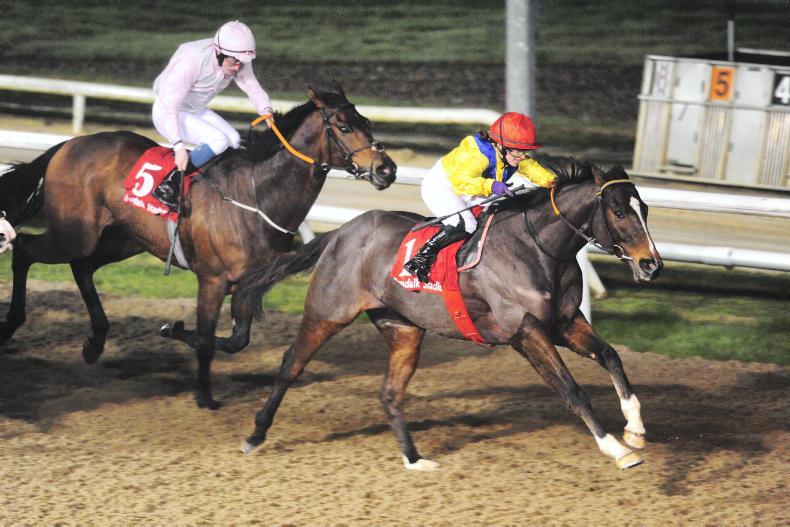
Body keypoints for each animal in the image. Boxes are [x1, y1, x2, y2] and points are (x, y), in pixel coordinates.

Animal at [0, 86, 396, 410]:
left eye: (366, 121)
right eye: (343, 126)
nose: (387, 169)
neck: (257, 195)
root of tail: (68, 145)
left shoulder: (247, 283)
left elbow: (237, 340)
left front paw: (173, 331)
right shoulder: (213, 279)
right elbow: (207, 339)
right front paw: (204, 395)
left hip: (124, 238)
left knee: (81, 267)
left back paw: (95, 341)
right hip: (75, 233)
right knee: (25, 250)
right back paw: (12, 323)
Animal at [235, 158, 663, 470]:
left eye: (644, 209)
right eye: (619, 212)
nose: (652, 265)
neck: (537, 249)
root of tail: (340, 232)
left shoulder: (565, 323)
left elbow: (611, 355)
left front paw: (636, 428)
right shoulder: (526, 333)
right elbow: (573, 391)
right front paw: (617, 449)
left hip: (404, 328)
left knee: (390, 393)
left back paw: (414, 459)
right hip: (327, 313)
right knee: (291, 365)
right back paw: (254, 436)